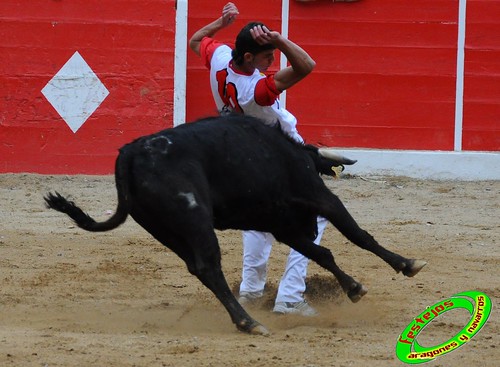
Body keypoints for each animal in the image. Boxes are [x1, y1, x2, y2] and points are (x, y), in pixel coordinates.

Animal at [45, 115, 426, 336]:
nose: (310, 227)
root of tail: (129, 154)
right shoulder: (318, 195)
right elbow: (357, 234)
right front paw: (408, 264)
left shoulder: (282, 225)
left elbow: (322, 253)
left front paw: (354, 288)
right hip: (195, 219)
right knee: (209, 266)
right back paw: (249, 322)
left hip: (167, 230)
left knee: (199, 268)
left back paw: (245, 318)